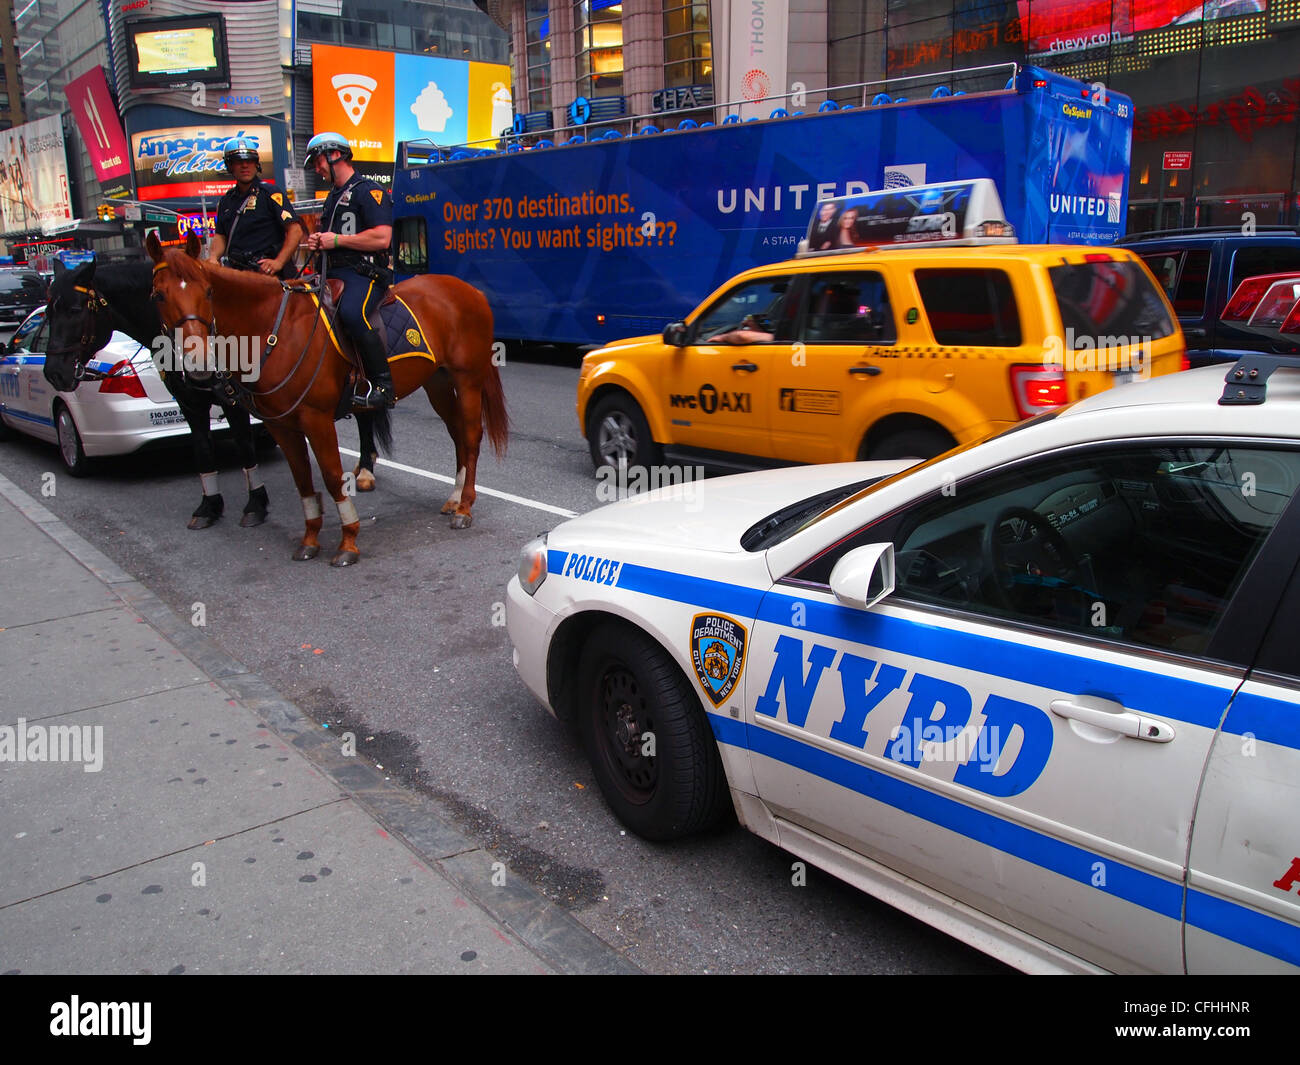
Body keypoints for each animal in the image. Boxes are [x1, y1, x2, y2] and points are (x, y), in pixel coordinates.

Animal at [41, 256, 273, 527]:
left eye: (75, 310)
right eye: (48, 312)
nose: (54, 372)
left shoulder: (232, 400)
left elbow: (245, 443)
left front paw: (256, 503)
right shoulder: (189, 402)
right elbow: (202, 447)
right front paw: (209, 505)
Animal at [144, 232, 504, 566]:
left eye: (207, 292)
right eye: (158, 295)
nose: (198, 363)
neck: (274, 330)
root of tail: (470, 291)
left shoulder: (316, 419)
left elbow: (332, 477)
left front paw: (348, 540)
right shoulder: (282, 426)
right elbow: (303, 480)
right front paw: (310, 538)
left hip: (467, 380)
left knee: (471, 436)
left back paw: (465, 507)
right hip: (437, 383)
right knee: (457, 435)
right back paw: (455, 498)